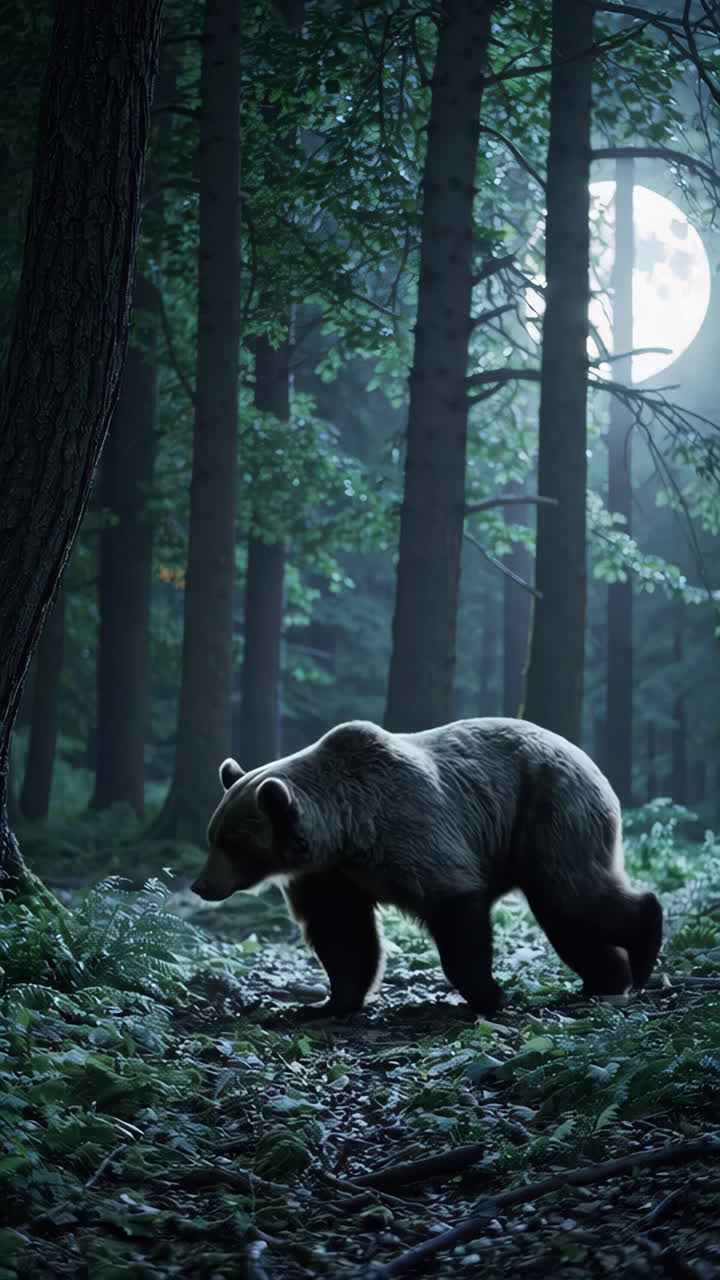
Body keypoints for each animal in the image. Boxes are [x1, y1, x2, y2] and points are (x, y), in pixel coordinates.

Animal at [190, 718, 663, 1017]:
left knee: (573, 894)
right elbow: (342, 935)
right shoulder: (329, 875)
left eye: (231, 842)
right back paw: (605, 980)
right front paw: (327, 1003)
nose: (201, 885)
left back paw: (643, 949)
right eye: (212, 835)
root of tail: (588, 759)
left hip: (550, 810)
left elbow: (454, 908)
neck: (349, 831)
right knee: (566, 916)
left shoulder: (412, 833)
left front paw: (490, 994)